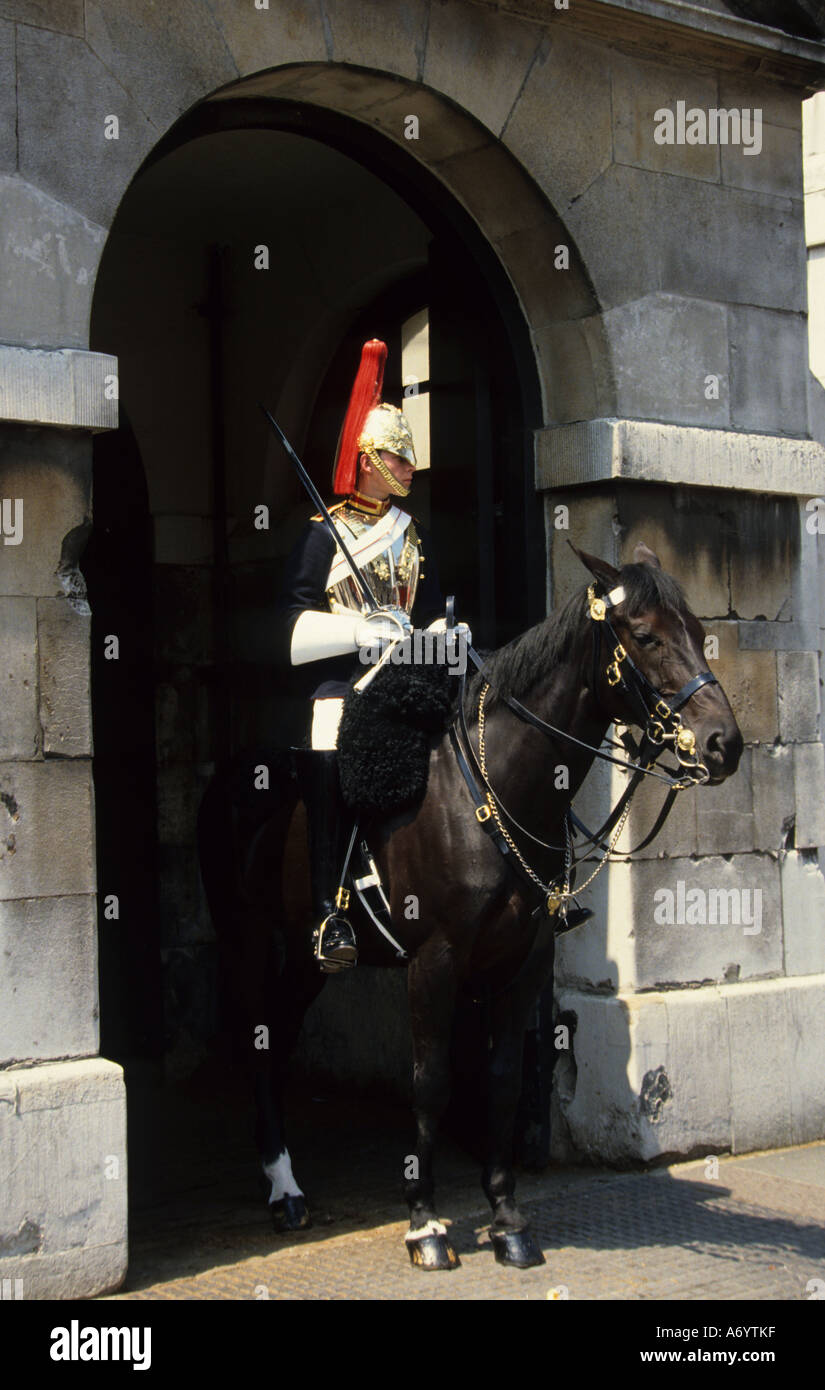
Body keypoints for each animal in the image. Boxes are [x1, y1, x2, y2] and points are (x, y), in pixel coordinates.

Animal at [197, 542, 738, 1273]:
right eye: (646, 635)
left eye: (698, 628)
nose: (723, 744)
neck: (494, 786)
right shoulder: (436, 962)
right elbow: (430, 1082)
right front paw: (424, 1224)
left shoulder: (523, 962)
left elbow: (504, 1079)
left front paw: (507, 1219)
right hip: (245, 935)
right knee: (258, 1043)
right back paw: (283, 1190)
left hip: (311, 958)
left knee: (279, 1035)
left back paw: (283, 1177)